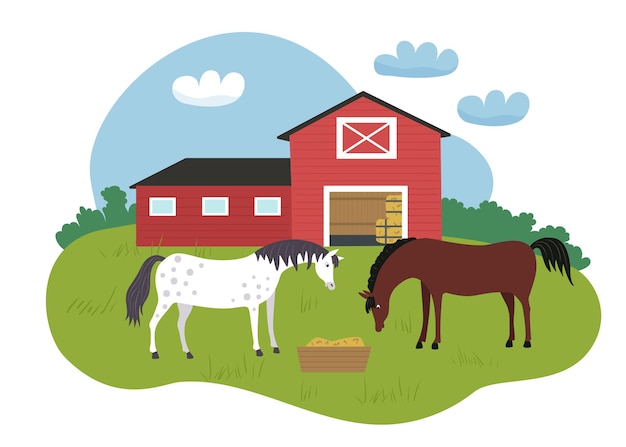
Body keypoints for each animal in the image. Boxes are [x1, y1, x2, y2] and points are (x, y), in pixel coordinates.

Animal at [358, 238, 572, 350]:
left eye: (378, 306)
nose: (378, 328)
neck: (422, 256)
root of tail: (530, 247)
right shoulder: (425, 287)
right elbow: (425, 312)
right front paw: (420, 341)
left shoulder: (437, 289)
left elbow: (436, 313)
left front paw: (435, 343)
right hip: (506, 291)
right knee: (511, 310)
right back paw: (510, 341)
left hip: (522, 292)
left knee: (526, 309)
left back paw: (527, 342)